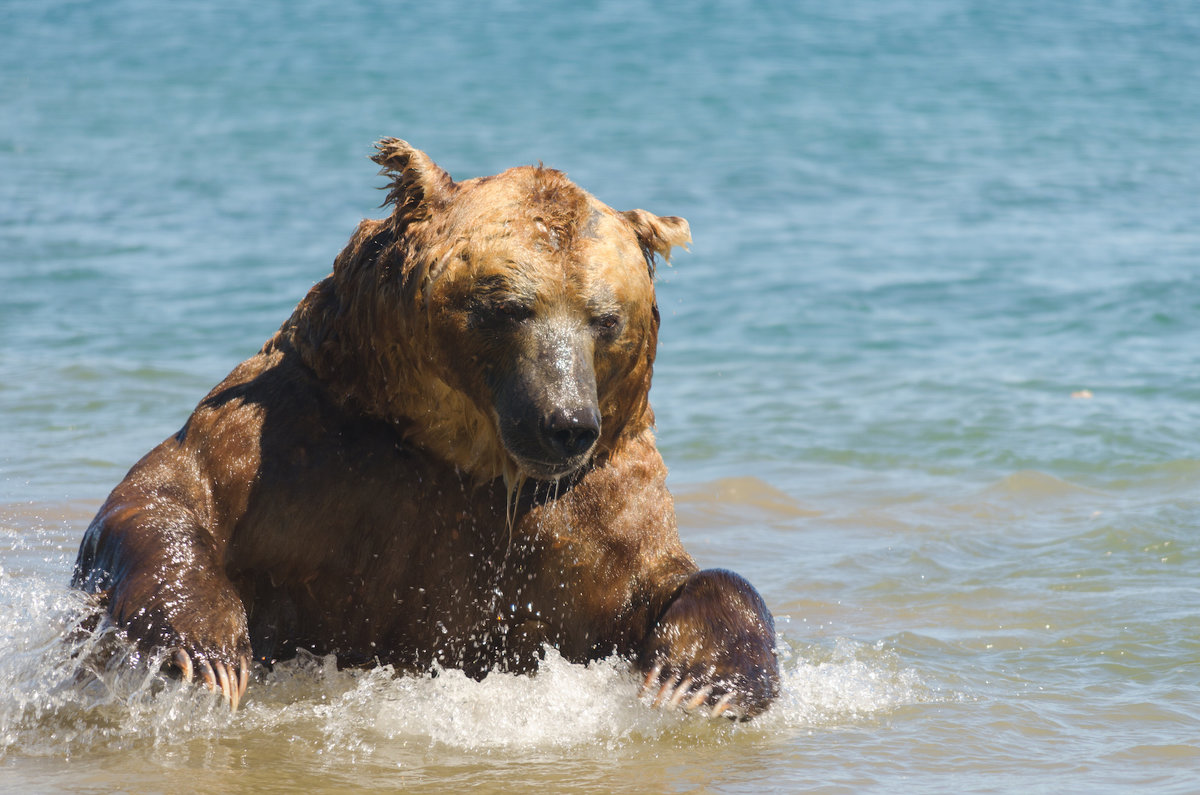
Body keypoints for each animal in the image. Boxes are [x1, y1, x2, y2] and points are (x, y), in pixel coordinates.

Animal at [77, 139, 787, 720]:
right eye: (509, 307)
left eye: (605, 318)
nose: (566, 423)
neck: (466, 453)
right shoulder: (298, 449)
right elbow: (166, 497)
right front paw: (210, 651)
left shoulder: (591, 513)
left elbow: (671, 582)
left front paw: (698, 680)